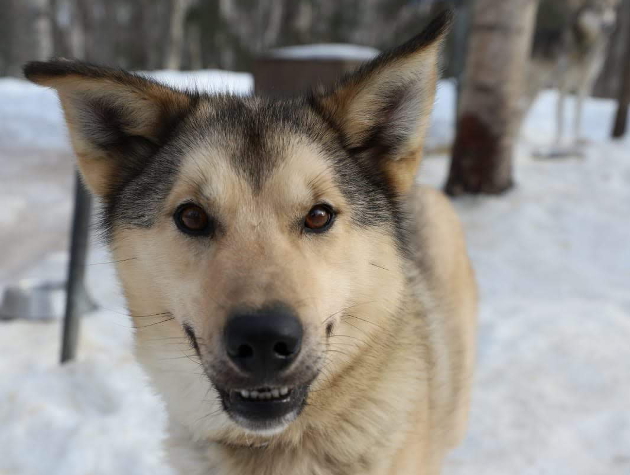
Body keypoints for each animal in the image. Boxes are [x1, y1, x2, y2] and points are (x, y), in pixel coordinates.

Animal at [528, 0, 624, 152]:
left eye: (611, 8)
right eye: (597, 9)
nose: (609, 25)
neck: (586, 46)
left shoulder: (585, 85)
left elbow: (578, 116)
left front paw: (577, 141)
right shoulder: (563, 85)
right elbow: (561, 118)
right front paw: (558, 143)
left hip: (533, 91)